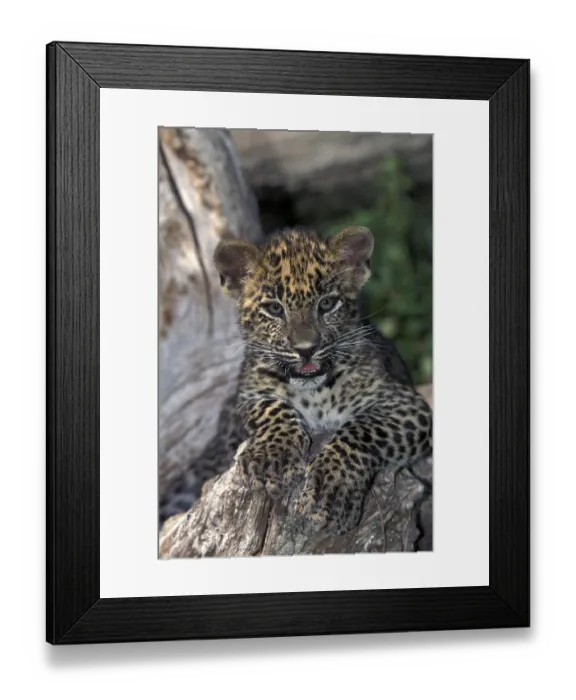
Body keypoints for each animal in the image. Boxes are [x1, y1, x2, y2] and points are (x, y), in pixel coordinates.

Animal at [159, 226, 432, 535]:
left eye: (327, 304)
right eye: (275, 309)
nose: (306, 349)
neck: (315, 394)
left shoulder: (407, 404)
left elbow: (361, 430)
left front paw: (331, 488)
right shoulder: (246, 396)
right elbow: (272, 407)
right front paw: (271, 459)